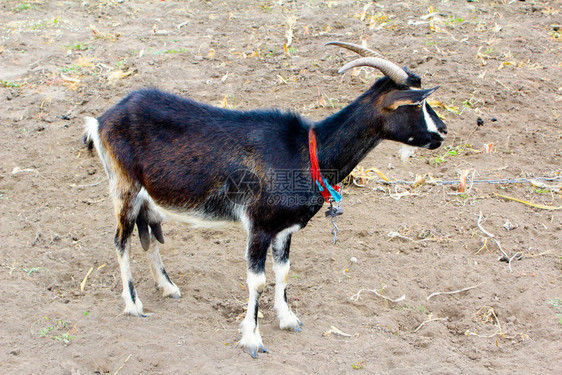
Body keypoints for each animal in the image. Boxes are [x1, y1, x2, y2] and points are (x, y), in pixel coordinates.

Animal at [82, 41, 446, 358]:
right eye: (416, 104)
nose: (442, 131)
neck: (308, 152)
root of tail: (101, 120)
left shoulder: (284, 229)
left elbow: (282, 272)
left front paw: (288, 319)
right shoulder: (258, 226)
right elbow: (257, 281)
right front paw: (252, 340)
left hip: (148, 197)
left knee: (149, 236)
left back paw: (168, 287)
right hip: (124, 187)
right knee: (121, 241)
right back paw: (133, 305)